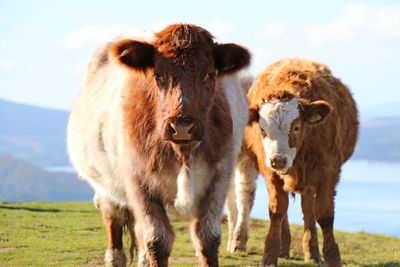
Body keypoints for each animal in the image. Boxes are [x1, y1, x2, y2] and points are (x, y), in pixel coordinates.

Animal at [67, 23, 252, 267]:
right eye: (158, 75)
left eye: (209, 74)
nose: (182, 126)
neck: (182, 153)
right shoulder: (139, 183)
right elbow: (157, 240)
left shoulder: (218, 179)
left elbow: (207, 238)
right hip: (107, 188)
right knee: (115, 225)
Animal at [228, 59, 360, 267]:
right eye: (263, 130)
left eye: (297, 127)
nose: (278, 159)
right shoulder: (271, 173)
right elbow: (277, 211)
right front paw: (270, 254)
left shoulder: (328, 171)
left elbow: (324, 214)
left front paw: (332, 256)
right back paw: (286, 248)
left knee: (308, 208)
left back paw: (312, 252)